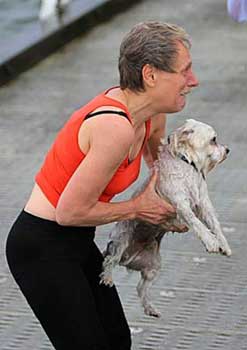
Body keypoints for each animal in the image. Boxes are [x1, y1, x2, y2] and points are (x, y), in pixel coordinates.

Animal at [100, 119, 232, 318]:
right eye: (213, 139)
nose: (227, 150)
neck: (188, 165)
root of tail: (128, 259)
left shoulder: (204, 205)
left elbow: (214, 225)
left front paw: (223, 244)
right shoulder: (181, 204)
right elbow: (198, 224)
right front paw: (211, 242)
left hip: (153, 267)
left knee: (141, 288)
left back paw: (150, 308)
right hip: (121, 240)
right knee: (109, 260)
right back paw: (107, 277)